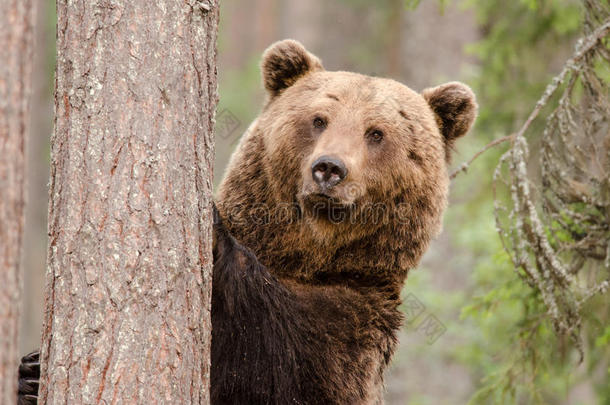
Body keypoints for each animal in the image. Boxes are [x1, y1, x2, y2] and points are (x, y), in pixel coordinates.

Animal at [16, 38, 476, 404]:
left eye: (376, 133)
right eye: (319, 120)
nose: (329, 169)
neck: (306, 255)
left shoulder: (352, 320)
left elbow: (277, 359)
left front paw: (214, 228)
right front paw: (31, 373)